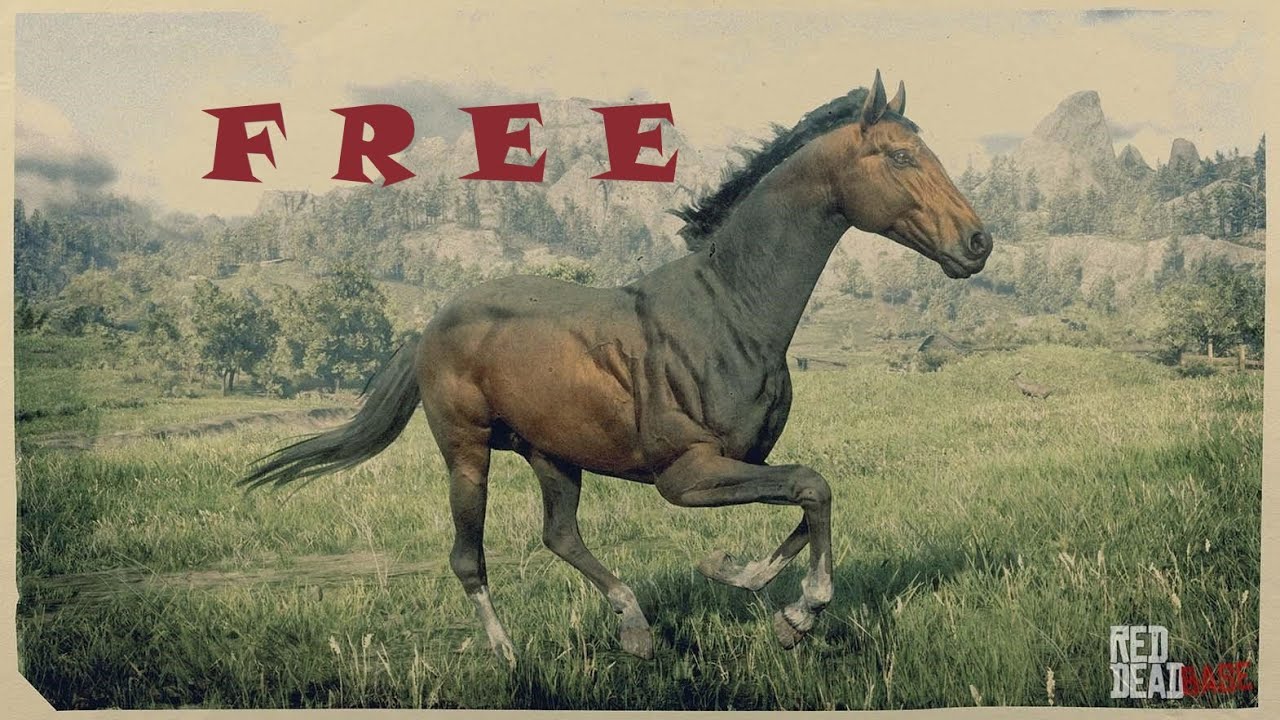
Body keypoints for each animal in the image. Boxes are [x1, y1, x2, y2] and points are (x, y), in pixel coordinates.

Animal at [241, 70, 991, 665]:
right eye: (902, 155)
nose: (978, 241)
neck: (729, 311)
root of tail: (430, 327)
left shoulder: (745, 462)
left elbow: (810, 500)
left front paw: (742, 581)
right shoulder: (686, 476)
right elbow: (813, 486)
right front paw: (798, 613)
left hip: (552, 455)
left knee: (559, 534)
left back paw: (634, 626)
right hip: (467, 452)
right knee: (468, 556)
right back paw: (509, 655)